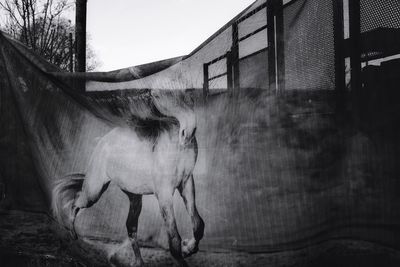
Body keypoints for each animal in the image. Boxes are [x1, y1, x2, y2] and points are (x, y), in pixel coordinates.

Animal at [52, 90, 205, 267]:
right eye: (158, 96)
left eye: (189, 94)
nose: (187, 133)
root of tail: (103, 140)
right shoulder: (164, 194)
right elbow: (174, 240)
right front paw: (185, 250)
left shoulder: (186, 183)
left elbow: (198, 225)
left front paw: (189, 248)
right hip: (94, 191)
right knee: (76, 200)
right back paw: (72, 233)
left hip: (134, 197)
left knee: (131, 228)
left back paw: (138, 262)